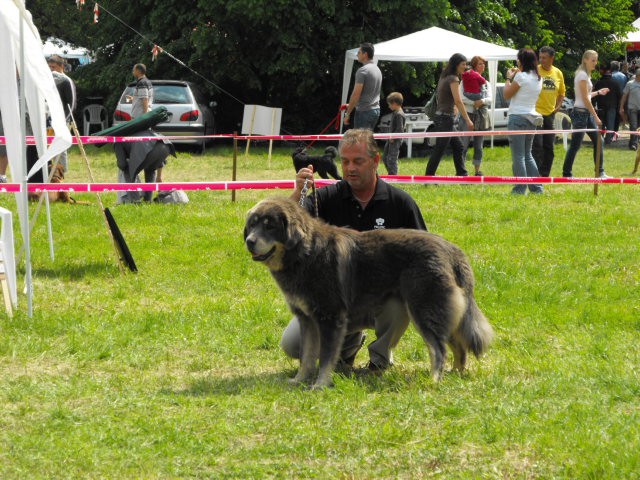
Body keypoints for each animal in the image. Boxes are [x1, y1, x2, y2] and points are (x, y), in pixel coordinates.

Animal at [244, 197, 494, 388]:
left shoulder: (330, 318)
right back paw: (457, 373)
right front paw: (299, 380)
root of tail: (453, 250)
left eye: (269, 226)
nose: (249, 241)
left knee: (438, 349)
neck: (305, 253)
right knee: (458, 346)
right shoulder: (307, 319)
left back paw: (433, 380)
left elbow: (325, 358)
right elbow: (307, 356)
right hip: (442, 311)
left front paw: (320, 384)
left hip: (424, 310)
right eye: (252, 225)